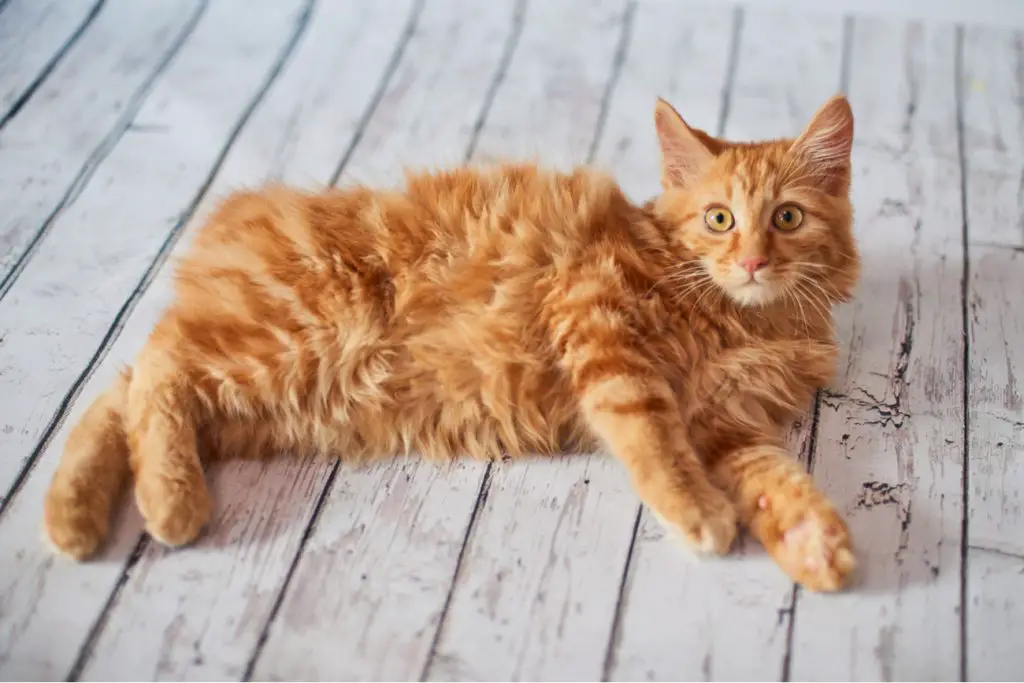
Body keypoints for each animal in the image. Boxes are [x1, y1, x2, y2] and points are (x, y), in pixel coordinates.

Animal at [41, 93, 856, 589]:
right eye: (720, 220)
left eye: (786, 218)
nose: (752, 261)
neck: (741, 317)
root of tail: (233, 211)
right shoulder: (598, 318)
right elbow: (650, 434)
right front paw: (695, 510)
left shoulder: (729, 422)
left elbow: (774, 477)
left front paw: (813, 539)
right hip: (286, 344)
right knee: (154, 370)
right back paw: (168, 501)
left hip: (260, 400)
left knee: (121, 390)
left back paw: (73, 513)